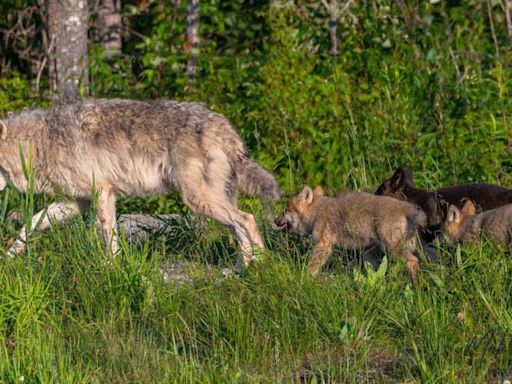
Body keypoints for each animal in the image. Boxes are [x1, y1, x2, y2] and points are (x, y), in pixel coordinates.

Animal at [1, 99, 280, 268]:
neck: (40, 142)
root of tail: (224, 126)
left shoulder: (103, 193)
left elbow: (108, 235)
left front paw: (110, 268)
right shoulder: (76, 202)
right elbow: (32, 223)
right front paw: (10, 254)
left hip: (199, 200)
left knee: (248, 219)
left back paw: (263, 265)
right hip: (213, 202)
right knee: (239, 228)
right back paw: (241, 269)